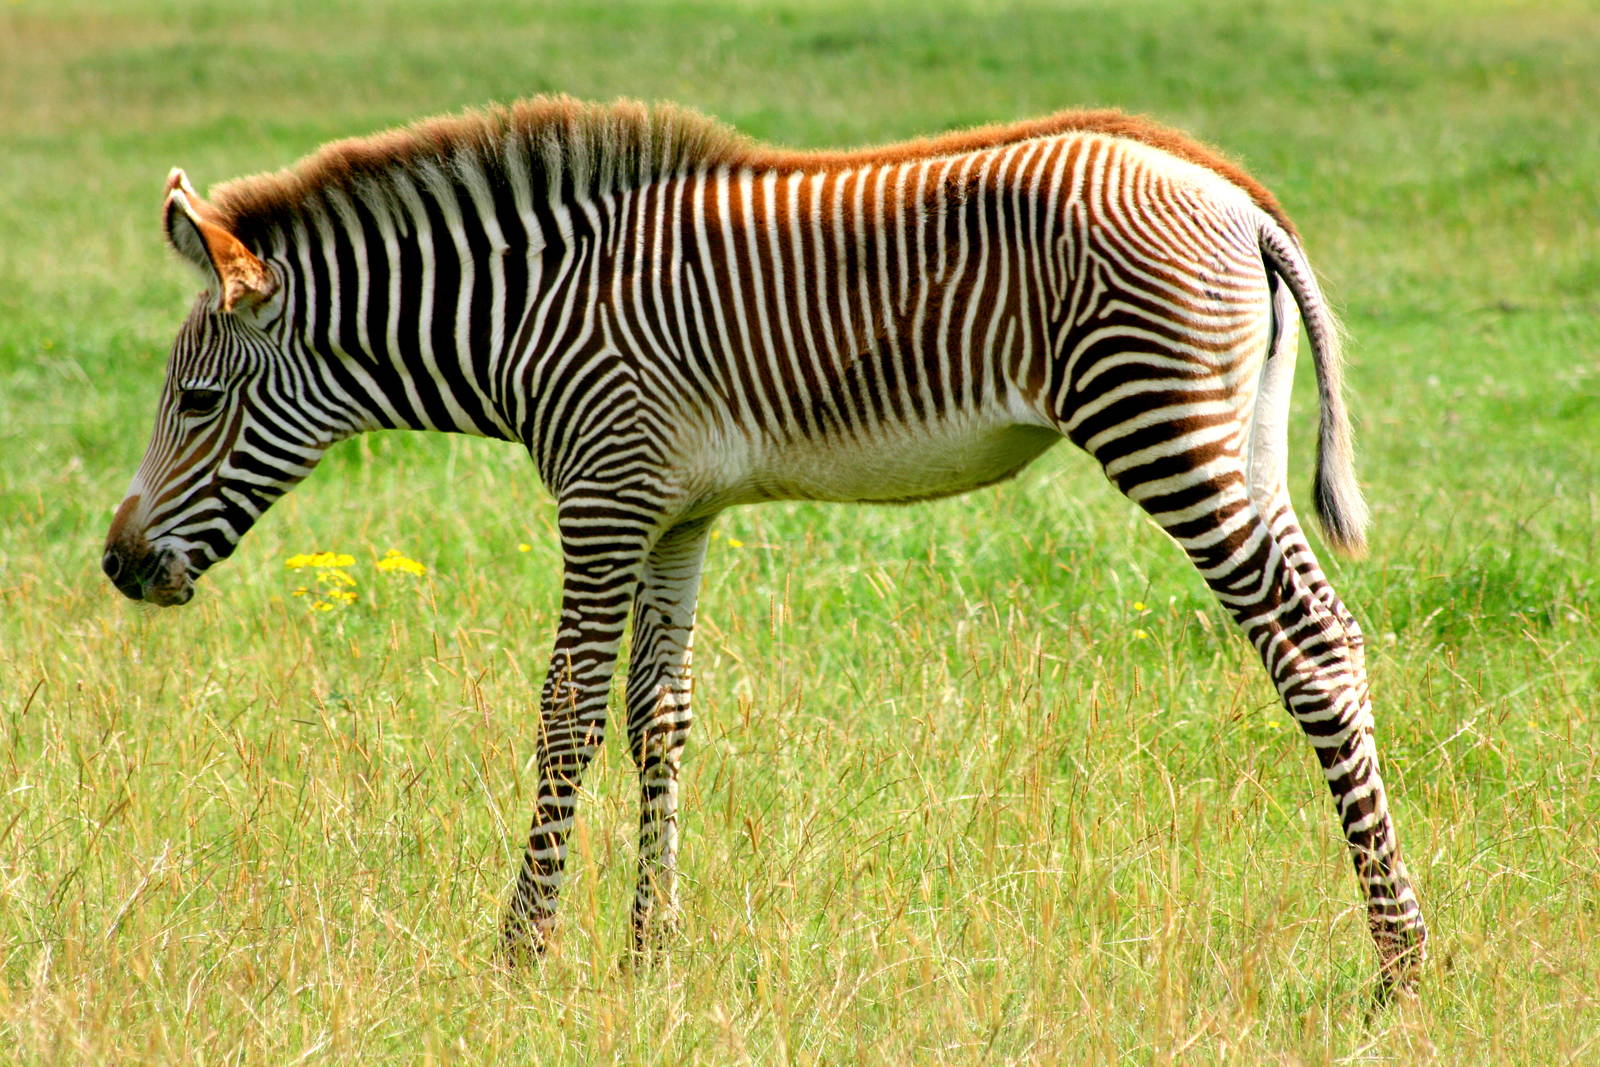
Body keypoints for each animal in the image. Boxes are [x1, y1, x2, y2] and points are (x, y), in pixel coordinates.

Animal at [102, 96, 1426, 993]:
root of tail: (1235, 195)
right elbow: (659, 715)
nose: (118, 564)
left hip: (1160, 428)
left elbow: (566, 711)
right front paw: (651, 949)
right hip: (1235, 435)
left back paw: (1400, 962)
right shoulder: (673, 508)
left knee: (1307, 647)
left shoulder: (602, 494)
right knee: (1333, 637)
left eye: (199, 402)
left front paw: (522, 948)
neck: (530, 317)